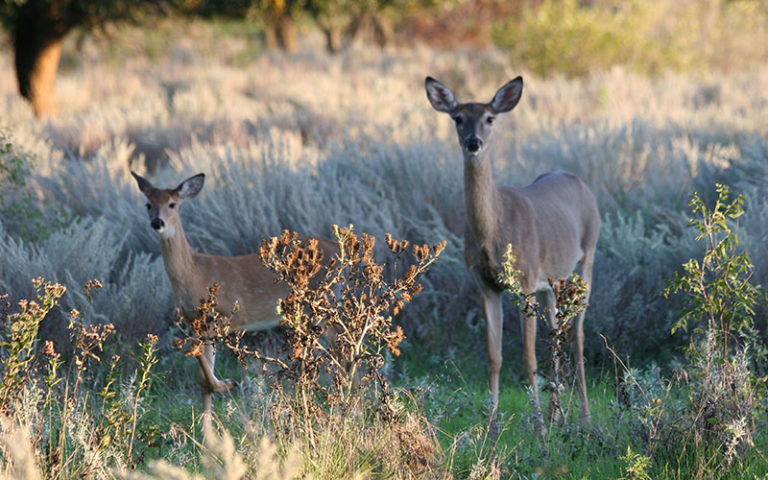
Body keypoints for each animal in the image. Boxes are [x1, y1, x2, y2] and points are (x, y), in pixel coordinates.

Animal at [131, 171, 337, 414]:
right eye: (148, 204)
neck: (193, 273)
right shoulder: (196, 321)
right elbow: (202, 379)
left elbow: (197, 355)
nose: (157, 222)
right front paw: (207, 419)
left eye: (172, 204)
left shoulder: (230, 313)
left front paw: (228, 384)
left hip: (324, 304)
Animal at [425, 76, 600, 430]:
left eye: (490, 118)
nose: (474, 143)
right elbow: (494, 357)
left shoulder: (526, 281)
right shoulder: (486, 285)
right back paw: (558, 415)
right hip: (553, 282)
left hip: (587, 257)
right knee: (556, 333)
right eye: (458, 118)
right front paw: (491, 426)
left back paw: (583, 418)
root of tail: (580, 182)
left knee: (577, 336)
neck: (494, 229)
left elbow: (529, 358)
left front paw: (539, 428)